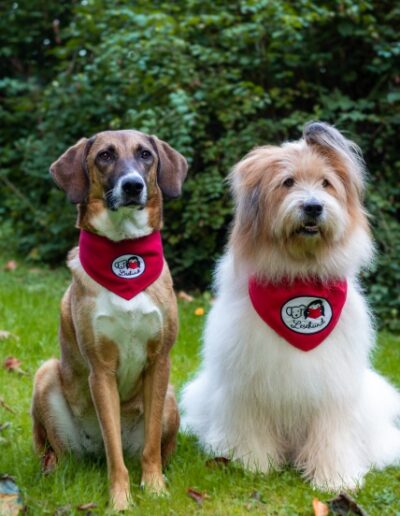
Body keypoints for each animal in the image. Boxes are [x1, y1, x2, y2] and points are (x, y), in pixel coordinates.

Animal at [32, 130, 187, 511]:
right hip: (46, 375)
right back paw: (51, 470)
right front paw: (119, 500)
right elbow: (115, 453)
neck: (124, 253)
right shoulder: (101, 370)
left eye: (145, 154)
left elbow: (150, 447)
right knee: (58, 450)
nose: (132, 185)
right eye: (105, 155)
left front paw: (155, 488)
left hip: (171, 399)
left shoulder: (159, 362)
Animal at [181, 122, 400, 490]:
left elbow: (332, 433)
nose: (313, 207)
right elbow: (251, 426)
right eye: (288, 182)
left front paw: (334, 477)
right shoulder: (247, 381)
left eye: (326, 183)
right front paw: (252, 464)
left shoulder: (333, 386)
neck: (298, 275)